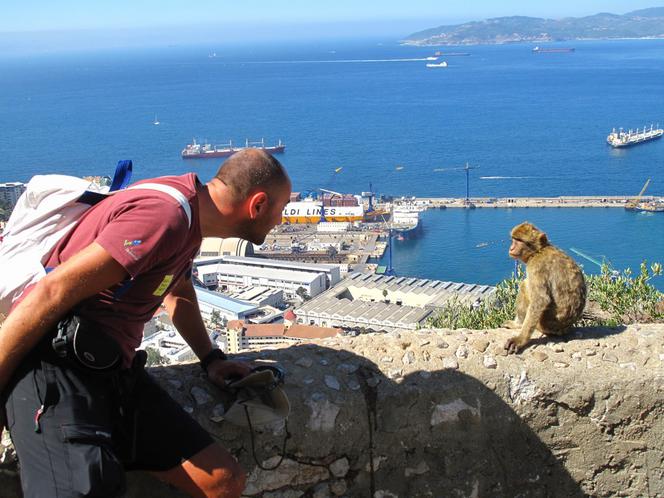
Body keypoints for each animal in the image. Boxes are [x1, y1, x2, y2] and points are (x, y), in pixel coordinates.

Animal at [504, 222, 588, 354]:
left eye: (519, 241)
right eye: (513, 239)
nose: (511, 248)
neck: (538, 251)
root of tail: (565, 329)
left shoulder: (536, 266)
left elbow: (541, 300)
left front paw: (520, 339)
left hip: (544, 325)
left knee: (524, 286)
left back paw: (519, 324)